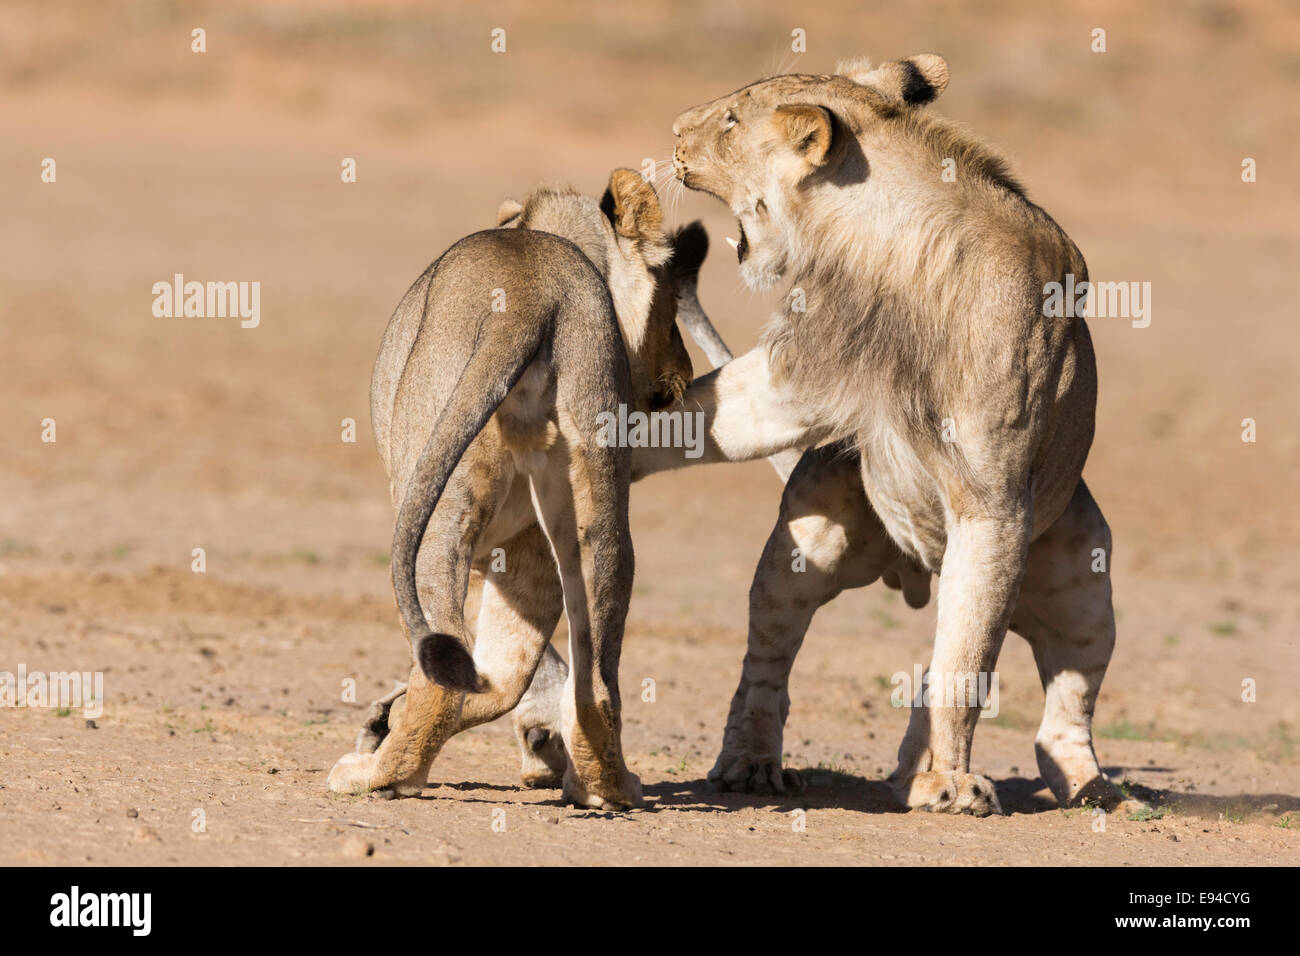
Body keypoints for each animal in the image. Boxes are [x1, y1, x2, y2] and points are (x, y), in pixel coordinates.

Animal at [327, 170, 712, 806]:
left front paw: (383, 727)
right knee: (593, 680)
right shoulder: (525, 550)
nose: (686, 370)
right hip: (593, 507)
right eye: (671, 306)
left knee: (442, 669)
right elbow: (509, 678)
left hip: (438, 502)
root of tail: (531, 296)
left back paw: (380, 775)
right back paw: (607, 786)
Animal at [629, 54, 1128, 816]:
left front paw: (953, 784)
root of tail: (914, 567)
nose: (676, 131)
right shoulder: (800, 372)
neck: (881, 254)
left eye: (731, 121)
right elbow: (703, 417)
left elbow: (963, 667)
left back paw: (1079, 788)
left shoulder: (994, 508)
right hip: (813, 539)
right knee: (765, 667)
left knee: (1042, 706)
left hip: (1080, 573)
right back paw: (751, 765)